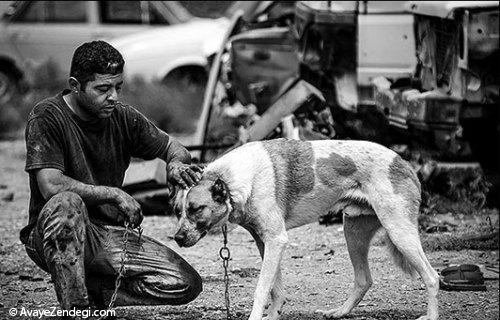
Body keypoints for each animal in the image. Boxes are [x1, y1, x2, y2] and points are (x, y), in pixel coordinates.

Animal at [174, 139, 440, 320]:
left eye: (196, 209)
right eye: (178, 211)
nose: (177, 238)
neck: (232, 181)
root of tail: (403, 162)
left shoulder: (276, 240)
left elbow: (262, 289)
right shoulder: (265, 242)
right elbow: (276, 289)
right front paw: (273, 316)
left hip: (399, 232)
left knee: (432, 277)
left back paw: (431, 315)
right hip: (353, 232)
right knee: (364, 280)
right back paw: (339, 312)